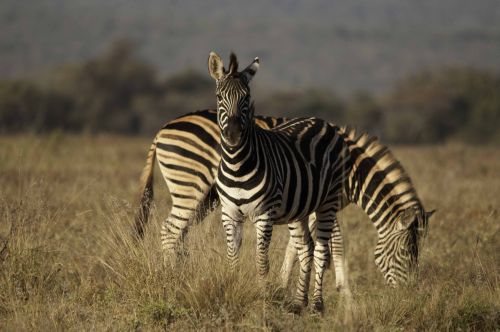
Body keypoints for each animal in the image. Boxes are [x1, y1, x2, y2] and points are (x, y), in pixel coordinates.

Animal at [207, 50, 434, 312]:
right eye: (405, 253)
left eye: (247, 98)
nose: (410, 294)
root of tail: (320, 120)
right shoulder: (230, 213)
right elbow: (236, 257)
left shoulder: (279, 212)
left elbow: (284, 255)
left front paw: (278, 294)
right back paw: (304, 301)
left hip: (316, 204)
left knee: (316, 249)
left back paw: (312, 303)